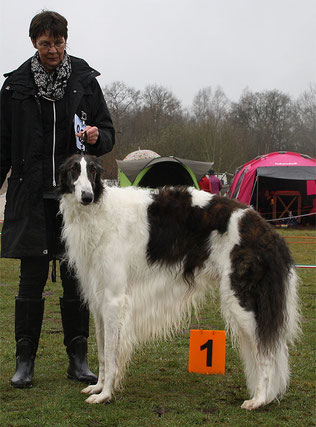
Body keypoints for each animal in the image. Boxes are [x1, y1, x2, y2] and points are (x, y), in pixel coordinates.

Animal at [58, 155, 300, 412]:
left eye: (93, 171)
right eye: (74, 170)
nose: (87, 196)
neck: (100, 212)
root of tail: (268, 230)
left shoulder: (114, 300)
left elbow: (111, 354)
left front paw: (105, 394)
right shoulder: (99, 302)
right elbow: (103, 353)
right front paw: (98, 387)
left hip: (242, 300)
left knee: (266, 353)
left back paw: (260, 399)